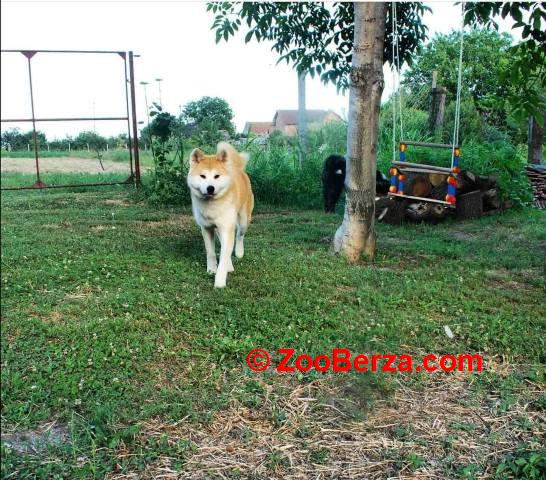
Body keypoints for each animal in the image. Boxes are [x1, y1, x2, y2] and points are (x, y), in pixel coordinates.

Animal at [186, 141, 254, 286]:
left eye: (216, 176)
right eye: (203, 176)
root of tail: (237, 169)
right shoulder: (206, 228)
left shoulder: (227, 228)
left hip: (243, 220)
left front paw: (220, 281)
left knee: (239, 235)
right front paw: (212, 269)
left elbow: (224, 255)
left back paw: (239, 252)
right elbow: (211, 252)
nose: (210, 188)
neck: (212, 206)